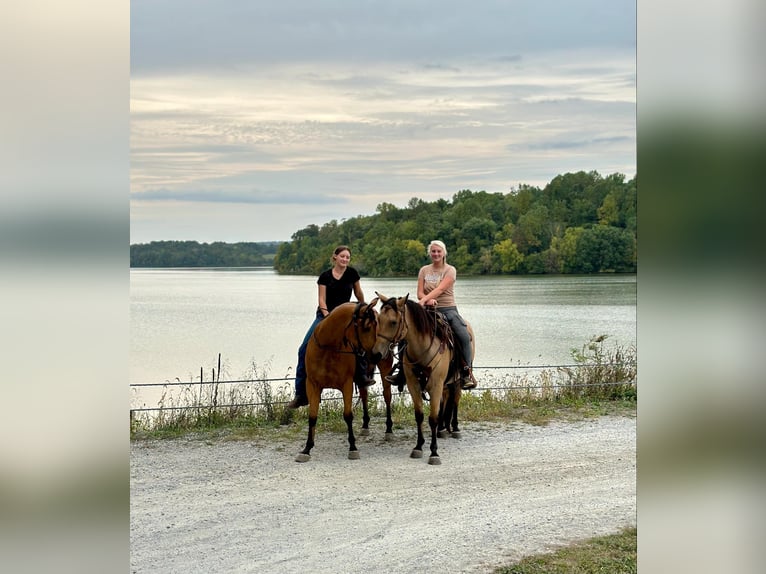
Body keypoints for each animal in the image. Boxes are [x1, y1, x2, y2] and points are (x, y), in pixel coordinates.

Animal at [300, 300, 384, 466]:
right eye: (366, 326)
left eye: (376, 324)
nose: (377, 354)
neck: (328, 348)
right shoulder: (313, 385)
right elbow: (312, 416)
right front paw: (307, 449)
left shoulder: (347, 385)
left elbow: (347, 415)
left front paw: (353, 447)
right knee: (364, 394)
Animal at [376, 294, 476, 466]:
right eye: (379, 319)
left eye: (393, 322)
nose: (377, 352)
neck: (423, 348)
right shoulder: (414, 386)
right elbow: (420, 416)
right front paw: (418, 447)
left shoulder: (435, 386)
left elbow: (432, 418)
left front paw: (434, 453)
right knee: (445, 401)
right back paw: (443, 429)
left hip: (457, 382)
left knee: (455, 400)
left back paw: (455, 428)